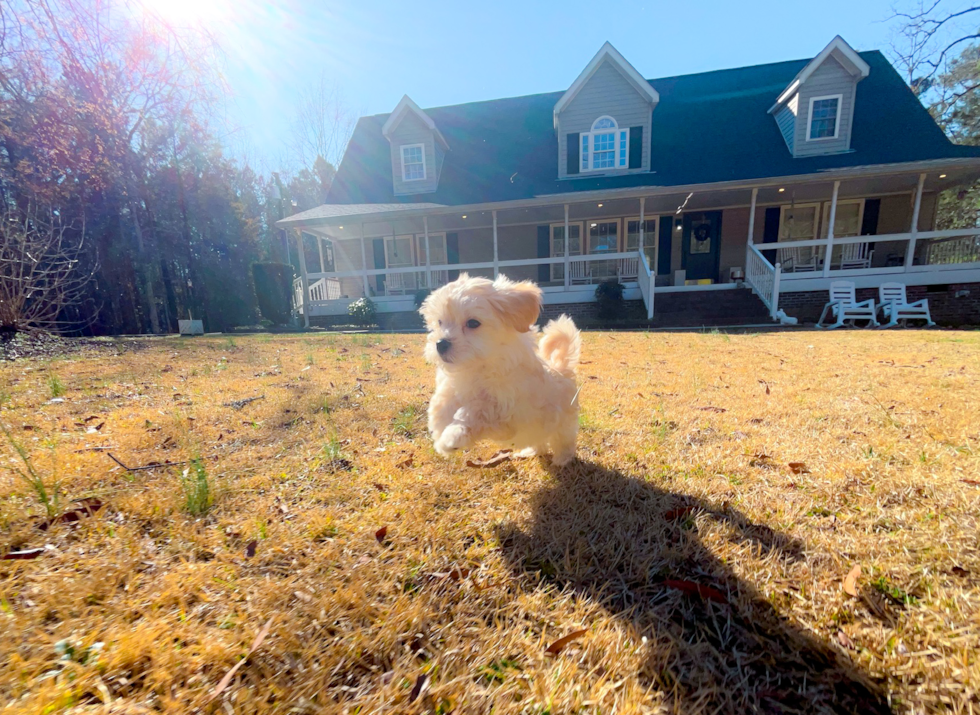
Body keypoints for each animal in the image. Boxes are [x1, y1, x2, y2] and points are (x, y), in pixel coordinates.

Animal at [416, 272, 580, 464]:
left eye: (473, 323)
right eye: (440, 322)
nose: (441, 344)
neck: (478, 367)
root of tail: (561, 368)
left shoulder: (507, 415)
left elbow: (477, 411)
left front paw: (453, 436)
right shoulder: (452, 390)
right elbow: (441, 405)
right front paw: (440, 433)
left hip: (564, 423)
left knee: (563, 440)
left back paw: (562, 459)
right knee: (539, 442)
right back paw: (530, 451)